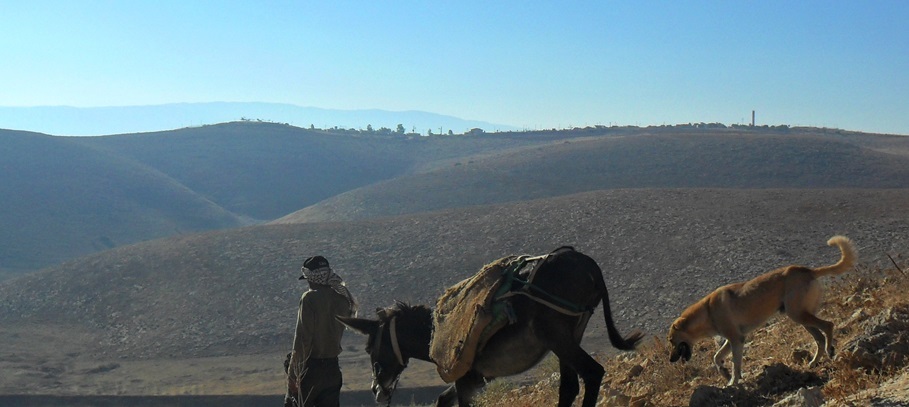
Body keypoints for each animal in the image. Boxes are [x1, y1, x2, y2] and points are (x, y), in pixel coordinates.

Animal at [668, 236, 852, 386]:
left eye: (671, 341)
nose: (670, 360)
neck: (707, 311)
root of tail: (809, 271)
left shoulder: (736, 339)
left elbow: (735, 364)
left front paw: (733, 381)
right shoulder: (733, 338)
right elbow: (717, 357)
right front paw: (725, 374)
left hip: (798, 314)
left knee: (828, 325)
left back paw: (830, 350)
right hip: (801, 317)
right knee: (819, 338)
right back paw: (814, 362)